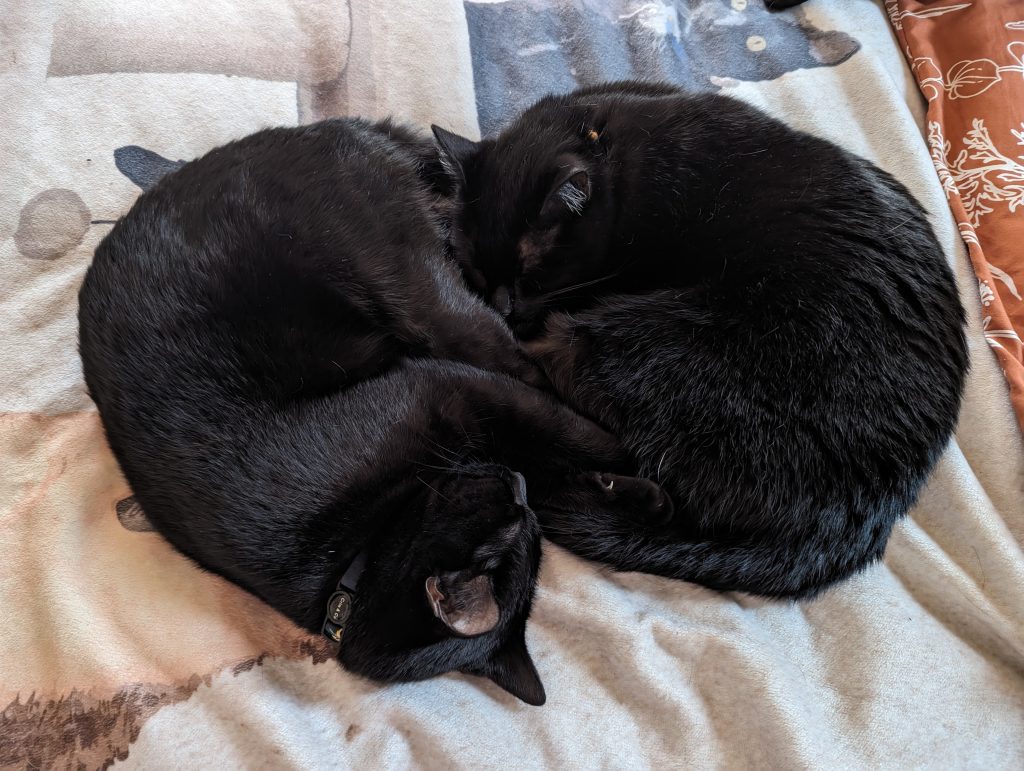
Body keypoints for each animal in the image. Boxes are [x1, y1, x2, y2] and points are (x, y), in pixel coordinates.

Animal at [79, 115, 671, 704]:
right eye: (511, 535)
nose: (515, 488)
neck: (358, 554)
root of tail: (331, 130)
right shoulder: (457, 398)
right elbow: (550, 448)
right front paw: (627, 484)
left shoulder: (449, 390)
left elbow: (557, 430)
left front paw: (631, 476)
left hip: (427, 298)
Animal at [432, 79, 966, 593]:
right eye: (477, 270)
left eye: (531, 277)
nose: (502, 308)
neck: (604, 144)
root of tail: (861, 519)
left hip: (621, 341)